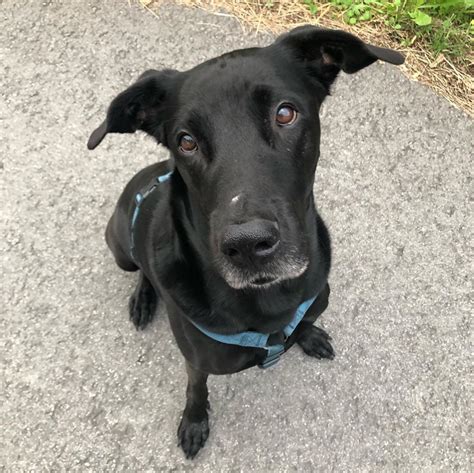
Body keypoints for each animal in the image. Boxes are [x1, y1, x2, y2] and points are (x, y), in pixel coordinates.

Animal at [87, 26, 402, 458]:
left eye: (285, 113)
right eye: (186, 141)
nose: (249, 246)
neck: (270, 303)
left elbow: (305, 323)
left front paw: (309, 335)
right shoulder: (198, 362)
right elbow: (196, 389)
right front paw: (194, 422)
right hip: (121, 250)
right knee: (141, 272)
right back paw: (143, 299)